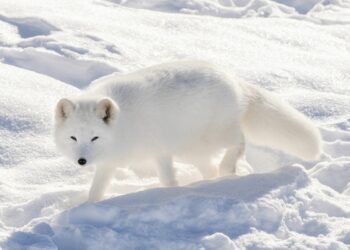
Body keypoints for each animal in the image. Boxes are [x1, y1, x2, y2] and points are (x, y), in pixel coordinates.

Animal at [54, 61, 322, 202]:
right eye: (73, 137)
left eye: (95, 137)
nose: (81, 161)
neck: (123, 125)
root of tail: (234, 81)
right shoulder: (109, 162)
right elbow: (96, 190)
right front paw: (87, 206)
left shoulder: (160, 151)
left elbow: (167, 179)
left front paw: (172, 193)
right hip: (191, 151)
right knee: (211, 168)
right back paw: (211, 182)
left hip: (213, 138)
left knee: (240, 142)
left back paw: (227, 169)